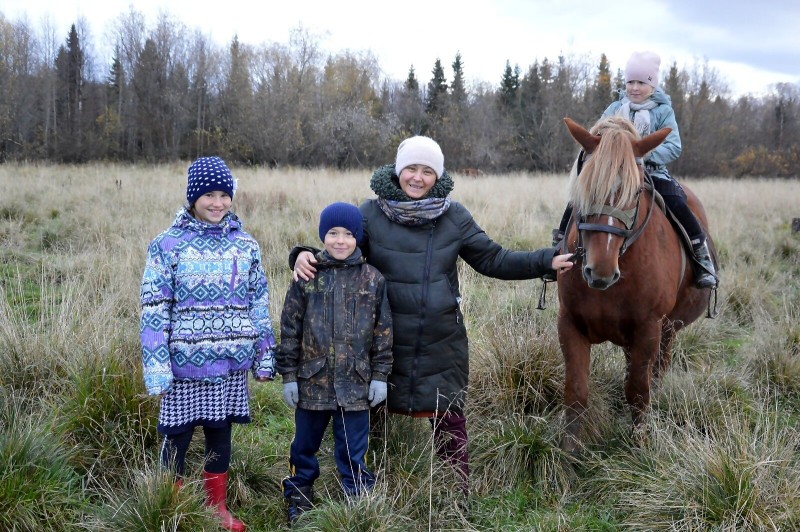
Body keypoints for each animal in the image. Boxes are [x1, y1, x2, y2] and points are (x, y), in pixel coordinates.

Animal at [556, 115, 712, 454]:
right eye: (586, 187)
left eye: (636, 192)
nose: (600, 271)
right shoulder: (570, 325)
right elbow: (576, 393)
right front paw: (568, 455)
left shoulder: (648, 329)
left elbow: (639, 391)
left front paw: (639, 444)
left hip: (668, 329)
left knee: (657, 369)